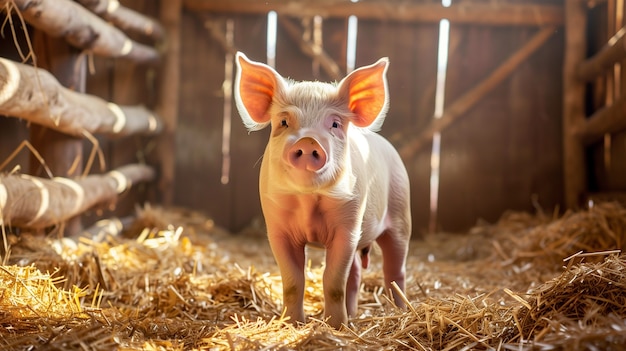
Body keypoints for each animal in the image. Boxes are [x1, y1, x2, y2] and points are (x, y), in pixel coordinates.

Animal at [234, 52, 410, 330]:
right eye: (283, 121)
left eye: (335, 124)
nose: (308, 141)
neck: (308, 201)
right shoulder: (277, 229)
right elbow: (293, 282)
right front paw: (292, 324)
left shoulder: (348, 226)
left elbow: (333, 282)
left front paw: (335, 327)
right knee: (356, 274)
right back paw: (354, 316)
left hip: (401, 215)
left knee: (395, 272)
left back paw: (400, 312)